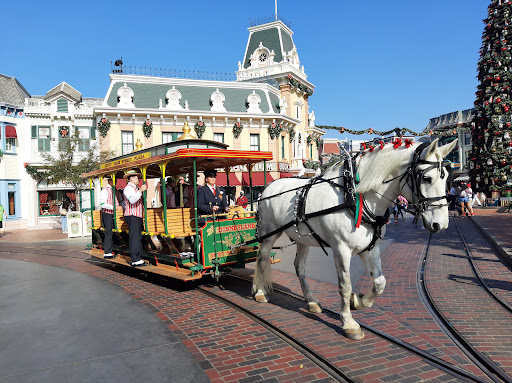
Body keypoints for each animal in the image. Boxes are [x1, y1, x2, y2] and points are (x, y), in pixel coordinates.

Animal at [252, 138, 456, 340]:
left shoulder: (370, 248)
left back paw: (311, 301)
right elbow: (345, 285)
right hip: (269, 232)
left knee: (299, 267)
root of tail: (270, 186)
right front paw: (349, 323)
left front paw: (358, 301)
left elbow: (380, 282)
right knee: (262, 258)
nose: (441, 224)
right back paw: (260, 292)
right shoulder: (341, 249)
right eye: (427, 178)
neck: (355, 196)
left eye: (445, 177)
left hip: (302, 240)